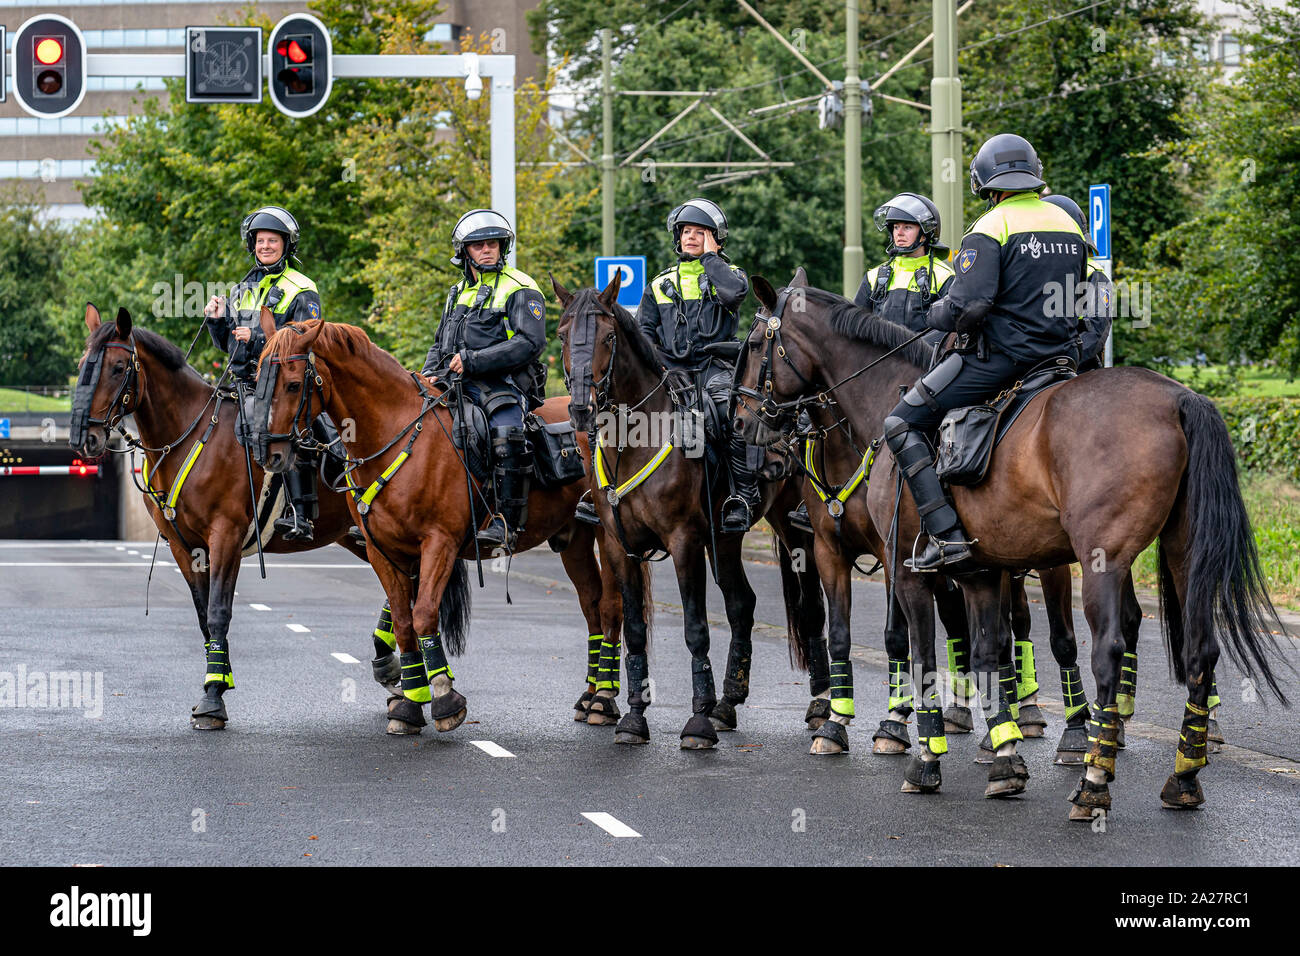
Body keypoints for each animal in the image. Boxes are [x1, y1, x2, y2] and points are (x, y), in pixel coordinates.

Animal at [71, 303, 382, 728]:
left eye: (118, 367)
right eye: (82, 364)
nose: (83, 437)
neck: (191, 434)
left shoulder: (226, 537)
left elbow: (219, 611)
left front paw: (213, 697)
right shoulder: (185, 546)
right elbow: (204, 615)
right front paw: (216, 681)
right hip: (359, 537)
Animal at [250, 317, 626, 738]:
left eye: (292, 384)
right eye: (259, 377)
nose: (267, 451)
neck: (394, 432)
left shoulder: (438, 544)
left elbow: (425, 613)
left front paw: (444, 698)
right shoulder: (383, 550)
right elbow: (402, 621)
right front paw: (410, 703)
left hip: (604, 534)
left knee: (611, 606)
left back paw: (604, 698)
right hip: (572, 540)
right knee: (591, 604)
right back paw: (589, 695)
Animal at [733, 280, 1289, 816]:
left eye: (756, 343)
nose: (740, 423)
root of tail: (1178, 399)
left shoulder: (907, 568)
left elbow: (923, 653)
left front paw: (926, 758)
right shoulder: (979, 572)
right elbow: (986, 653)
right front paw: (1003, 755)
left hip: (1099, 561)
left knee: (1108, 647)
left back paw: (1094, 778)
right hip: (1182, 552)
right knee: (1199, 649)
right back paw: (1183, 775)